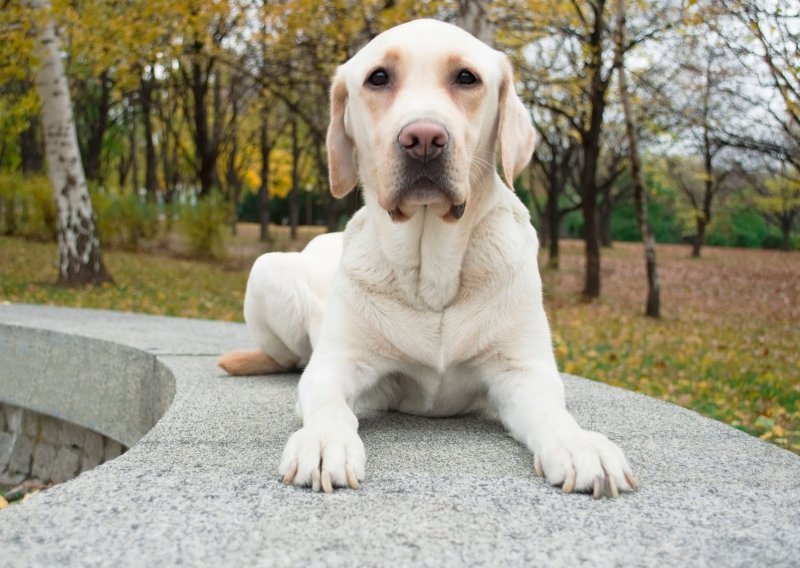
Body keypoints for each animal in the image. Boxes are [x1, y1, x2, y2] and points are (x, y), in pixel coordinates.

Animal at [216, 18, 636, 496]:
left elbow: (554, 414)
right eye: (378, 77)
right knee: (291, 358)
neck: (431, 276)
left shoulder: (523, 372)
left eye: (466, 78)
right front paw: (323, 441)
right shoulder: (337, 365)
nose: (423, 139)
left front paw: (580, 445)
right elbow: (329, 405)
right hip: (267, 267)